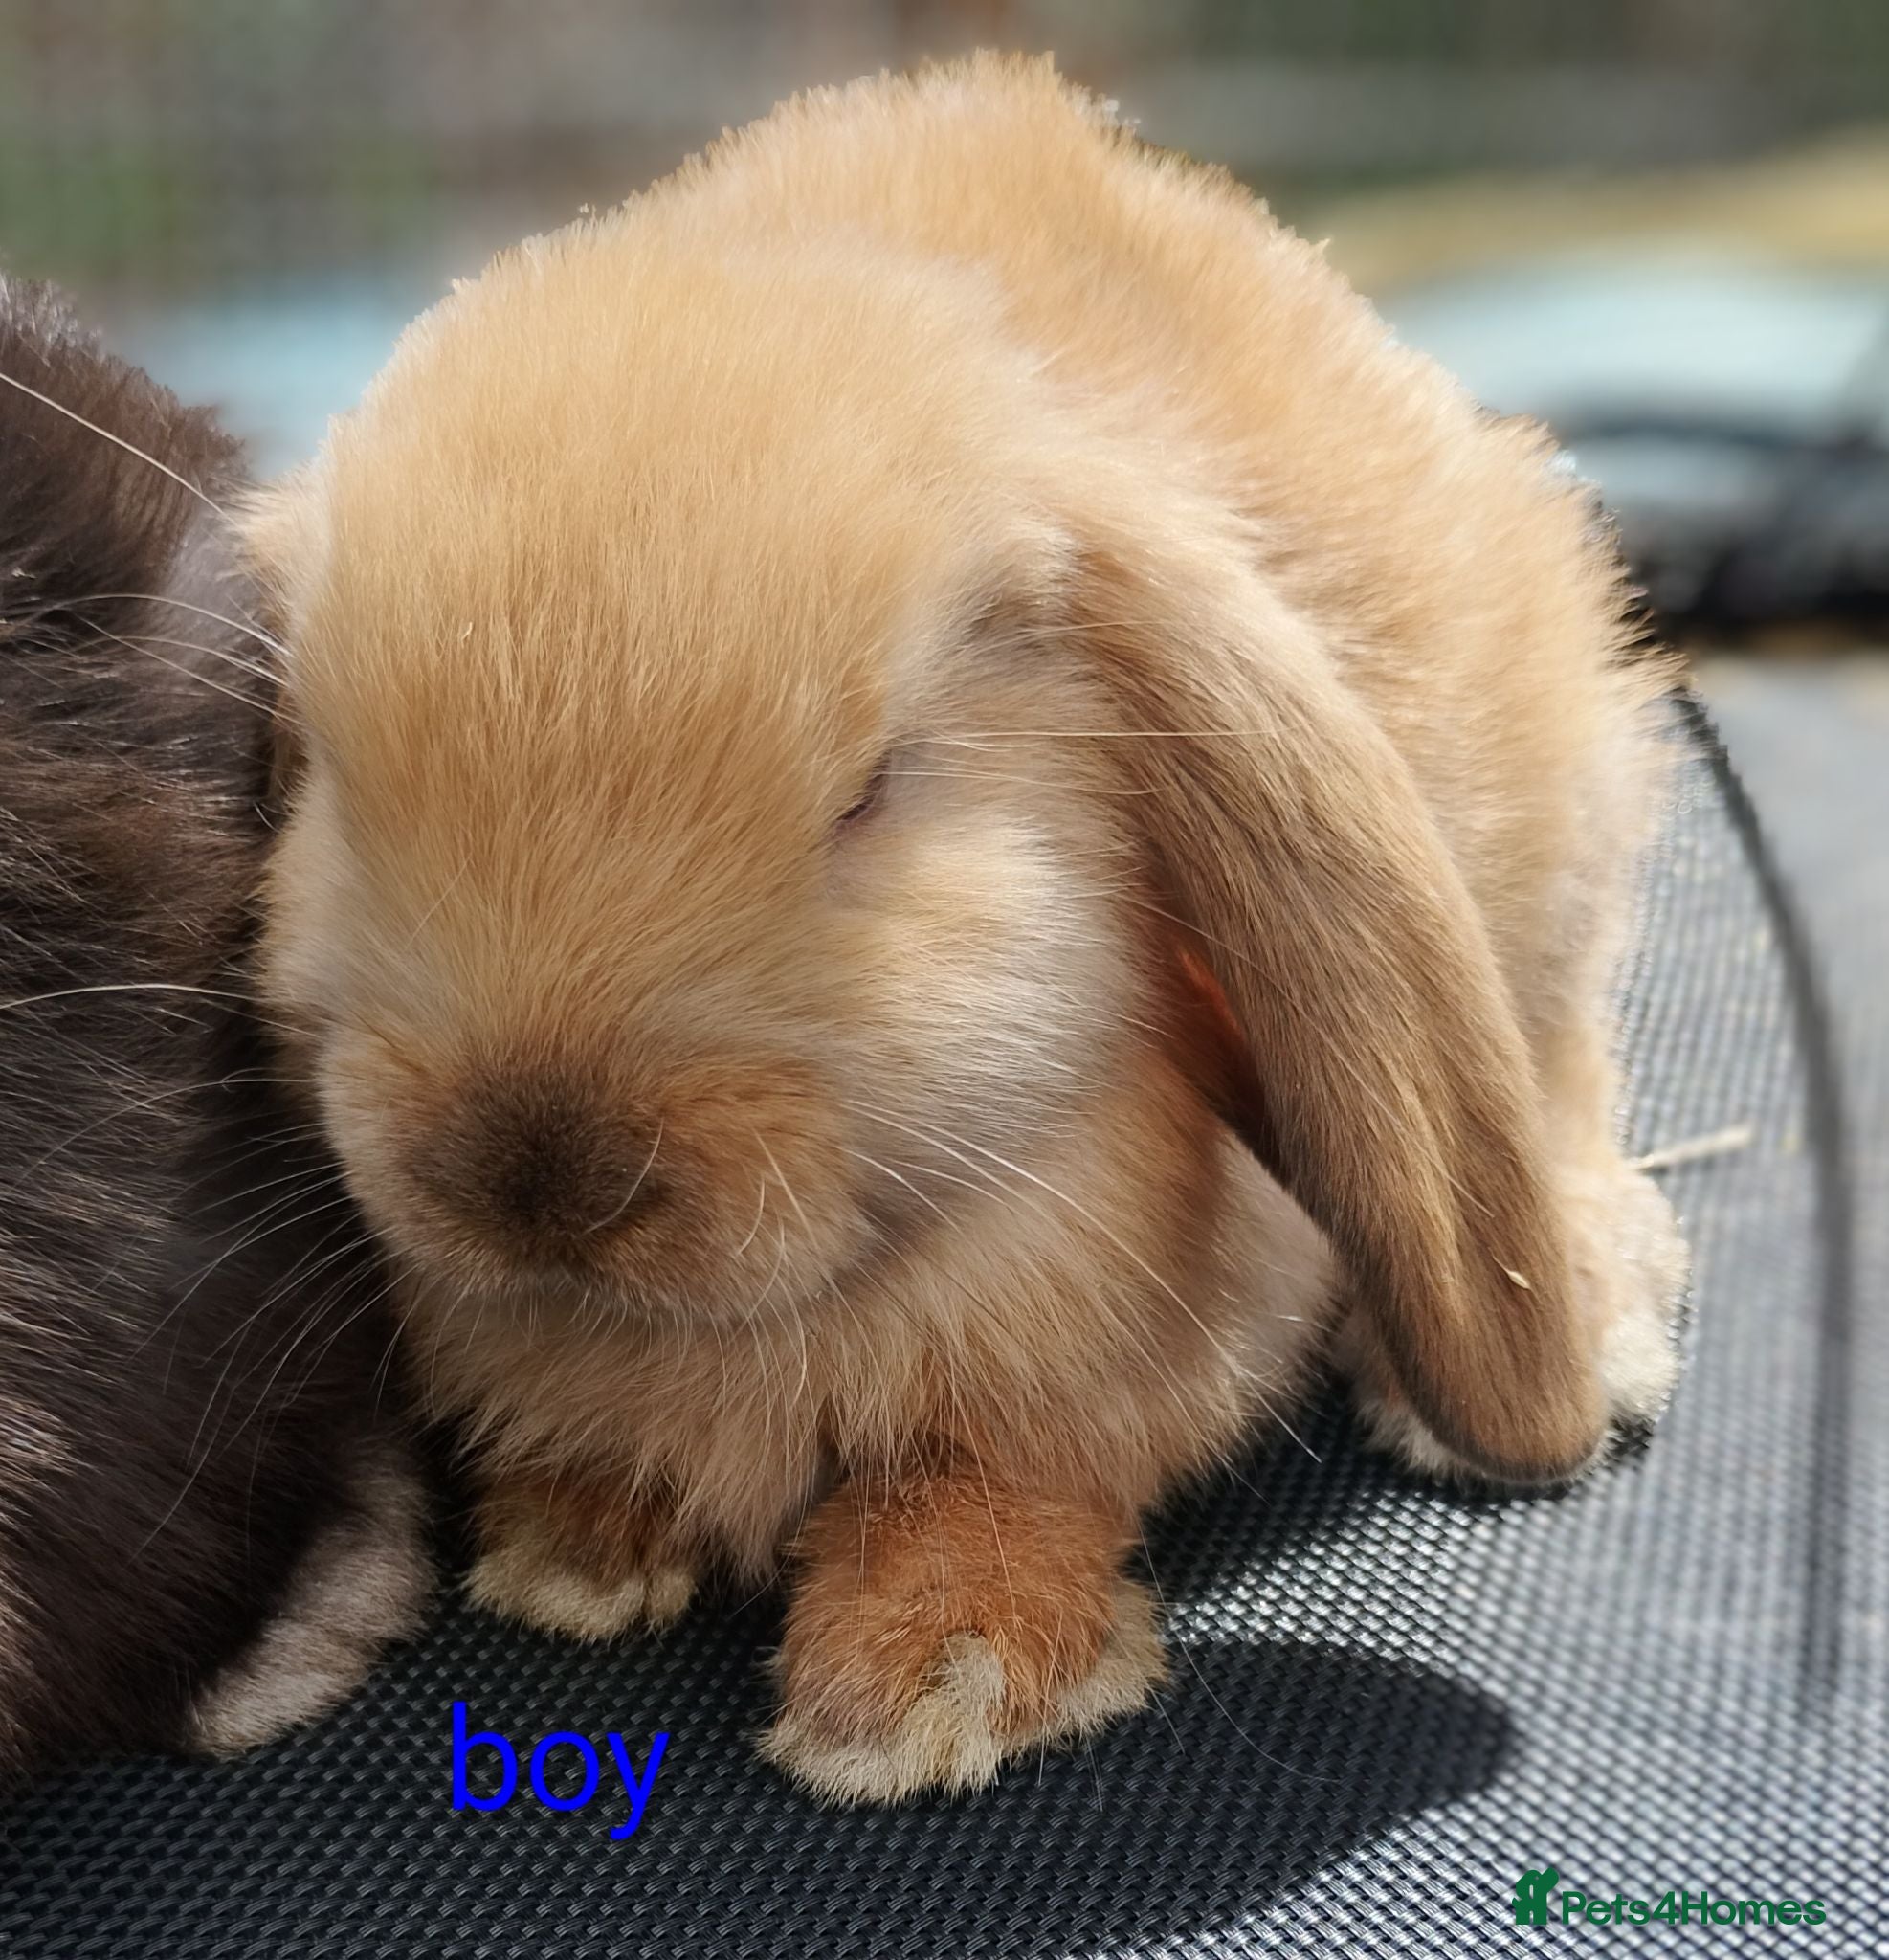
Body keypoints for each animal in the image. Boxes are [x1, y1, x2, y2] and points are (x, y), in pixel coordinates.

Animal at [236, 54, 1687, 1804]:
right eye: (332, 782)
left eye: (874, 790)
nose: (533, 1174)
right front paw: (576, 1547)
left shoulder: (1100, 1335)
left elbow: (1001, 1478)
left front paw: (931, 1683)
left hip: (1550, 875)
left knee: (1559, 1066)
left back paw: (1582, 1318)